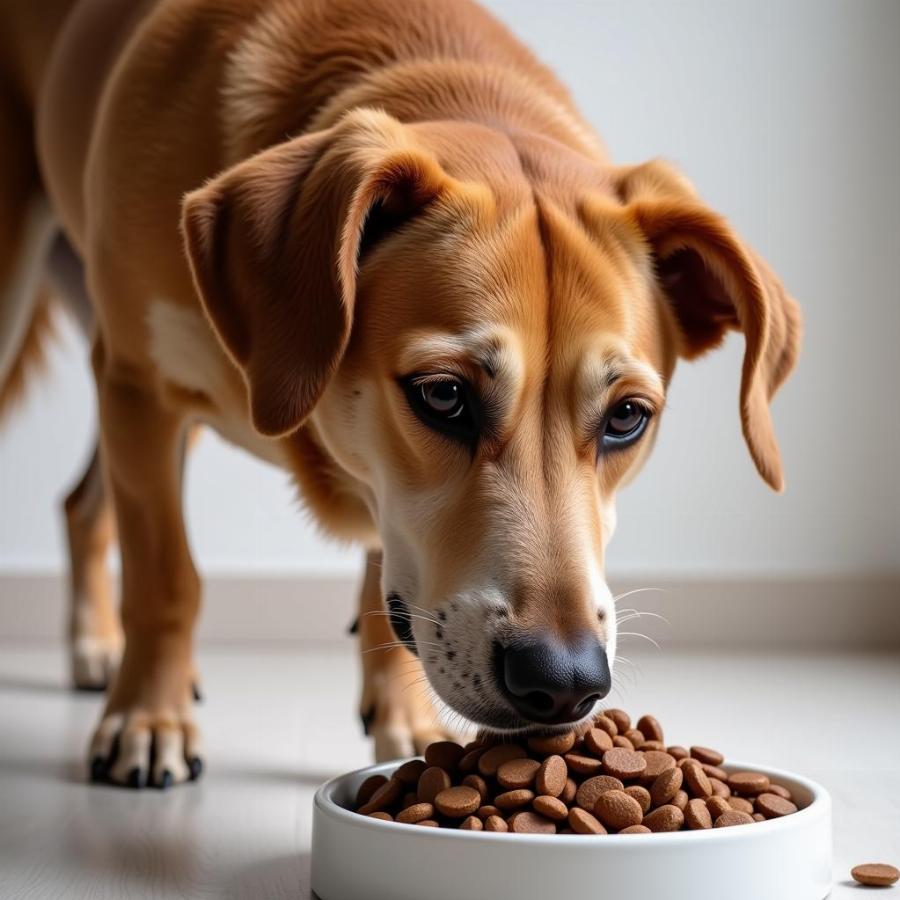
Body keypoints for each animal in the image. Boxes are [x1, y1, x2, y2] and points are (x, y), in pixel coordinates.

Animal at [0, 0, 800, 788]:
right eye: (443, 395)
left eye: (627, 417)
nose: (565, 681)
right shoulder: (141, 383)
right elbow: (166, 577)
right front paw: (147, 722)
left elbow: (383, 584)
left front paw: (406, 722)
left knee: (83, 503)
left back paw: (97, 648)